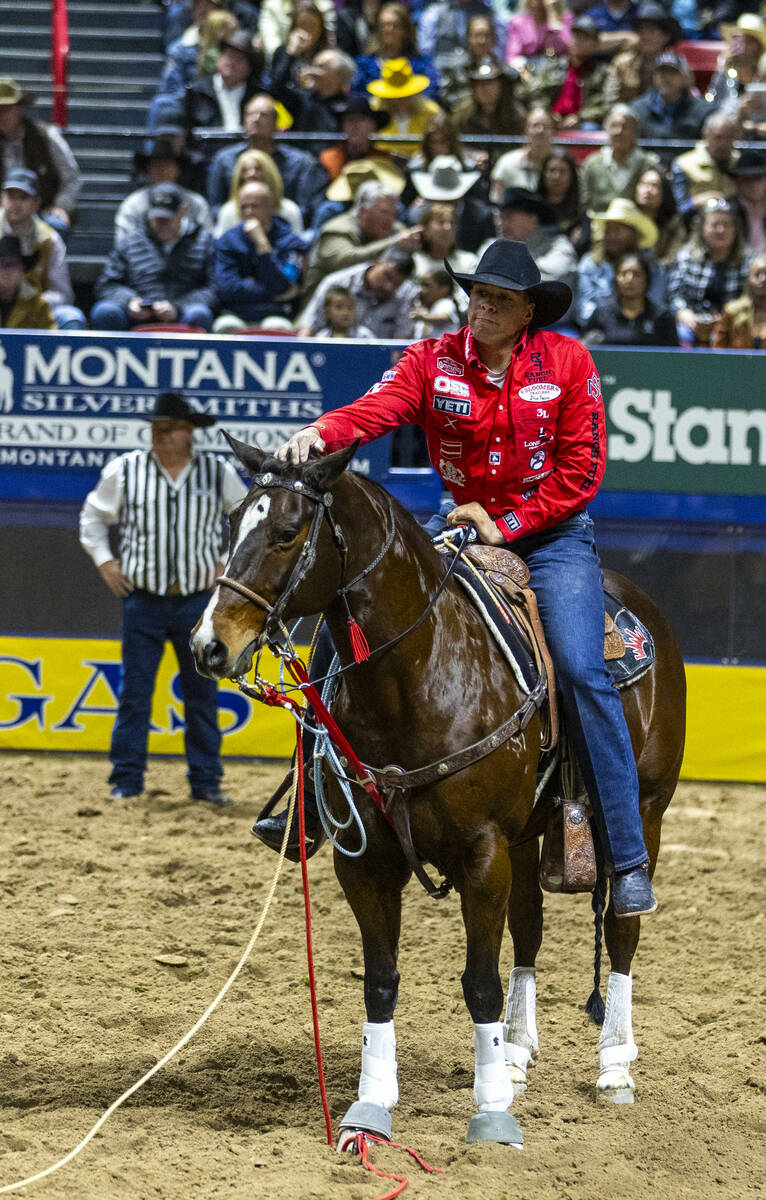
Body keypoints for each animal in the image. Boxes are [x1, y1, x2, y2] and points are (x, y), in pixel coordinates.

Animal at [192, 436, 691, 1147]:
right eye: (233, 524)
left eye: (287, 532)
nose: (209, 644)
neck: (421, 674)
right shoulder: (366, 861)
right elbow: (380, 981)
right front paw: (371, 1108)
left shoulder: (482, 855)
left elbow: (479, 983)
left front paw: (491, 1114)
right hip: (529, 837)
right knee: (529, 930)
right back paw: (515, 1053)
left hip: (644, 811)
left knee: (621, 927)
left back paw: (614, 1066)